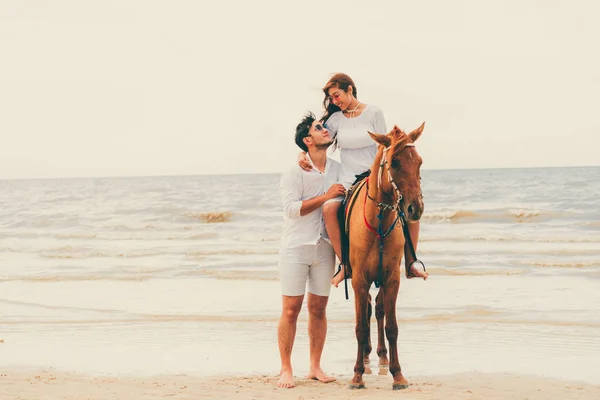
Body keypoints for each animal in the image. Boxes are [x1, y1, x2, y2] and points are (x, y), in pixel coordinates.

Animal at [344, 122, 424, 390]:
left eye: (419, 162)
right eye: (395, 162)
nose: (415, 209)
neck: (379, 221)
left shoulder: (391, 279)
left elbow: (391, 327)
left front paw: (398, 375)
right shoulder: (359, 280)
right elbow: (360, 326)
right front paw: (357, 375)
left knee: (378, 310)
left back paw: (380, 355)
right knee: (369, 308)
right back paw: (367, 357)